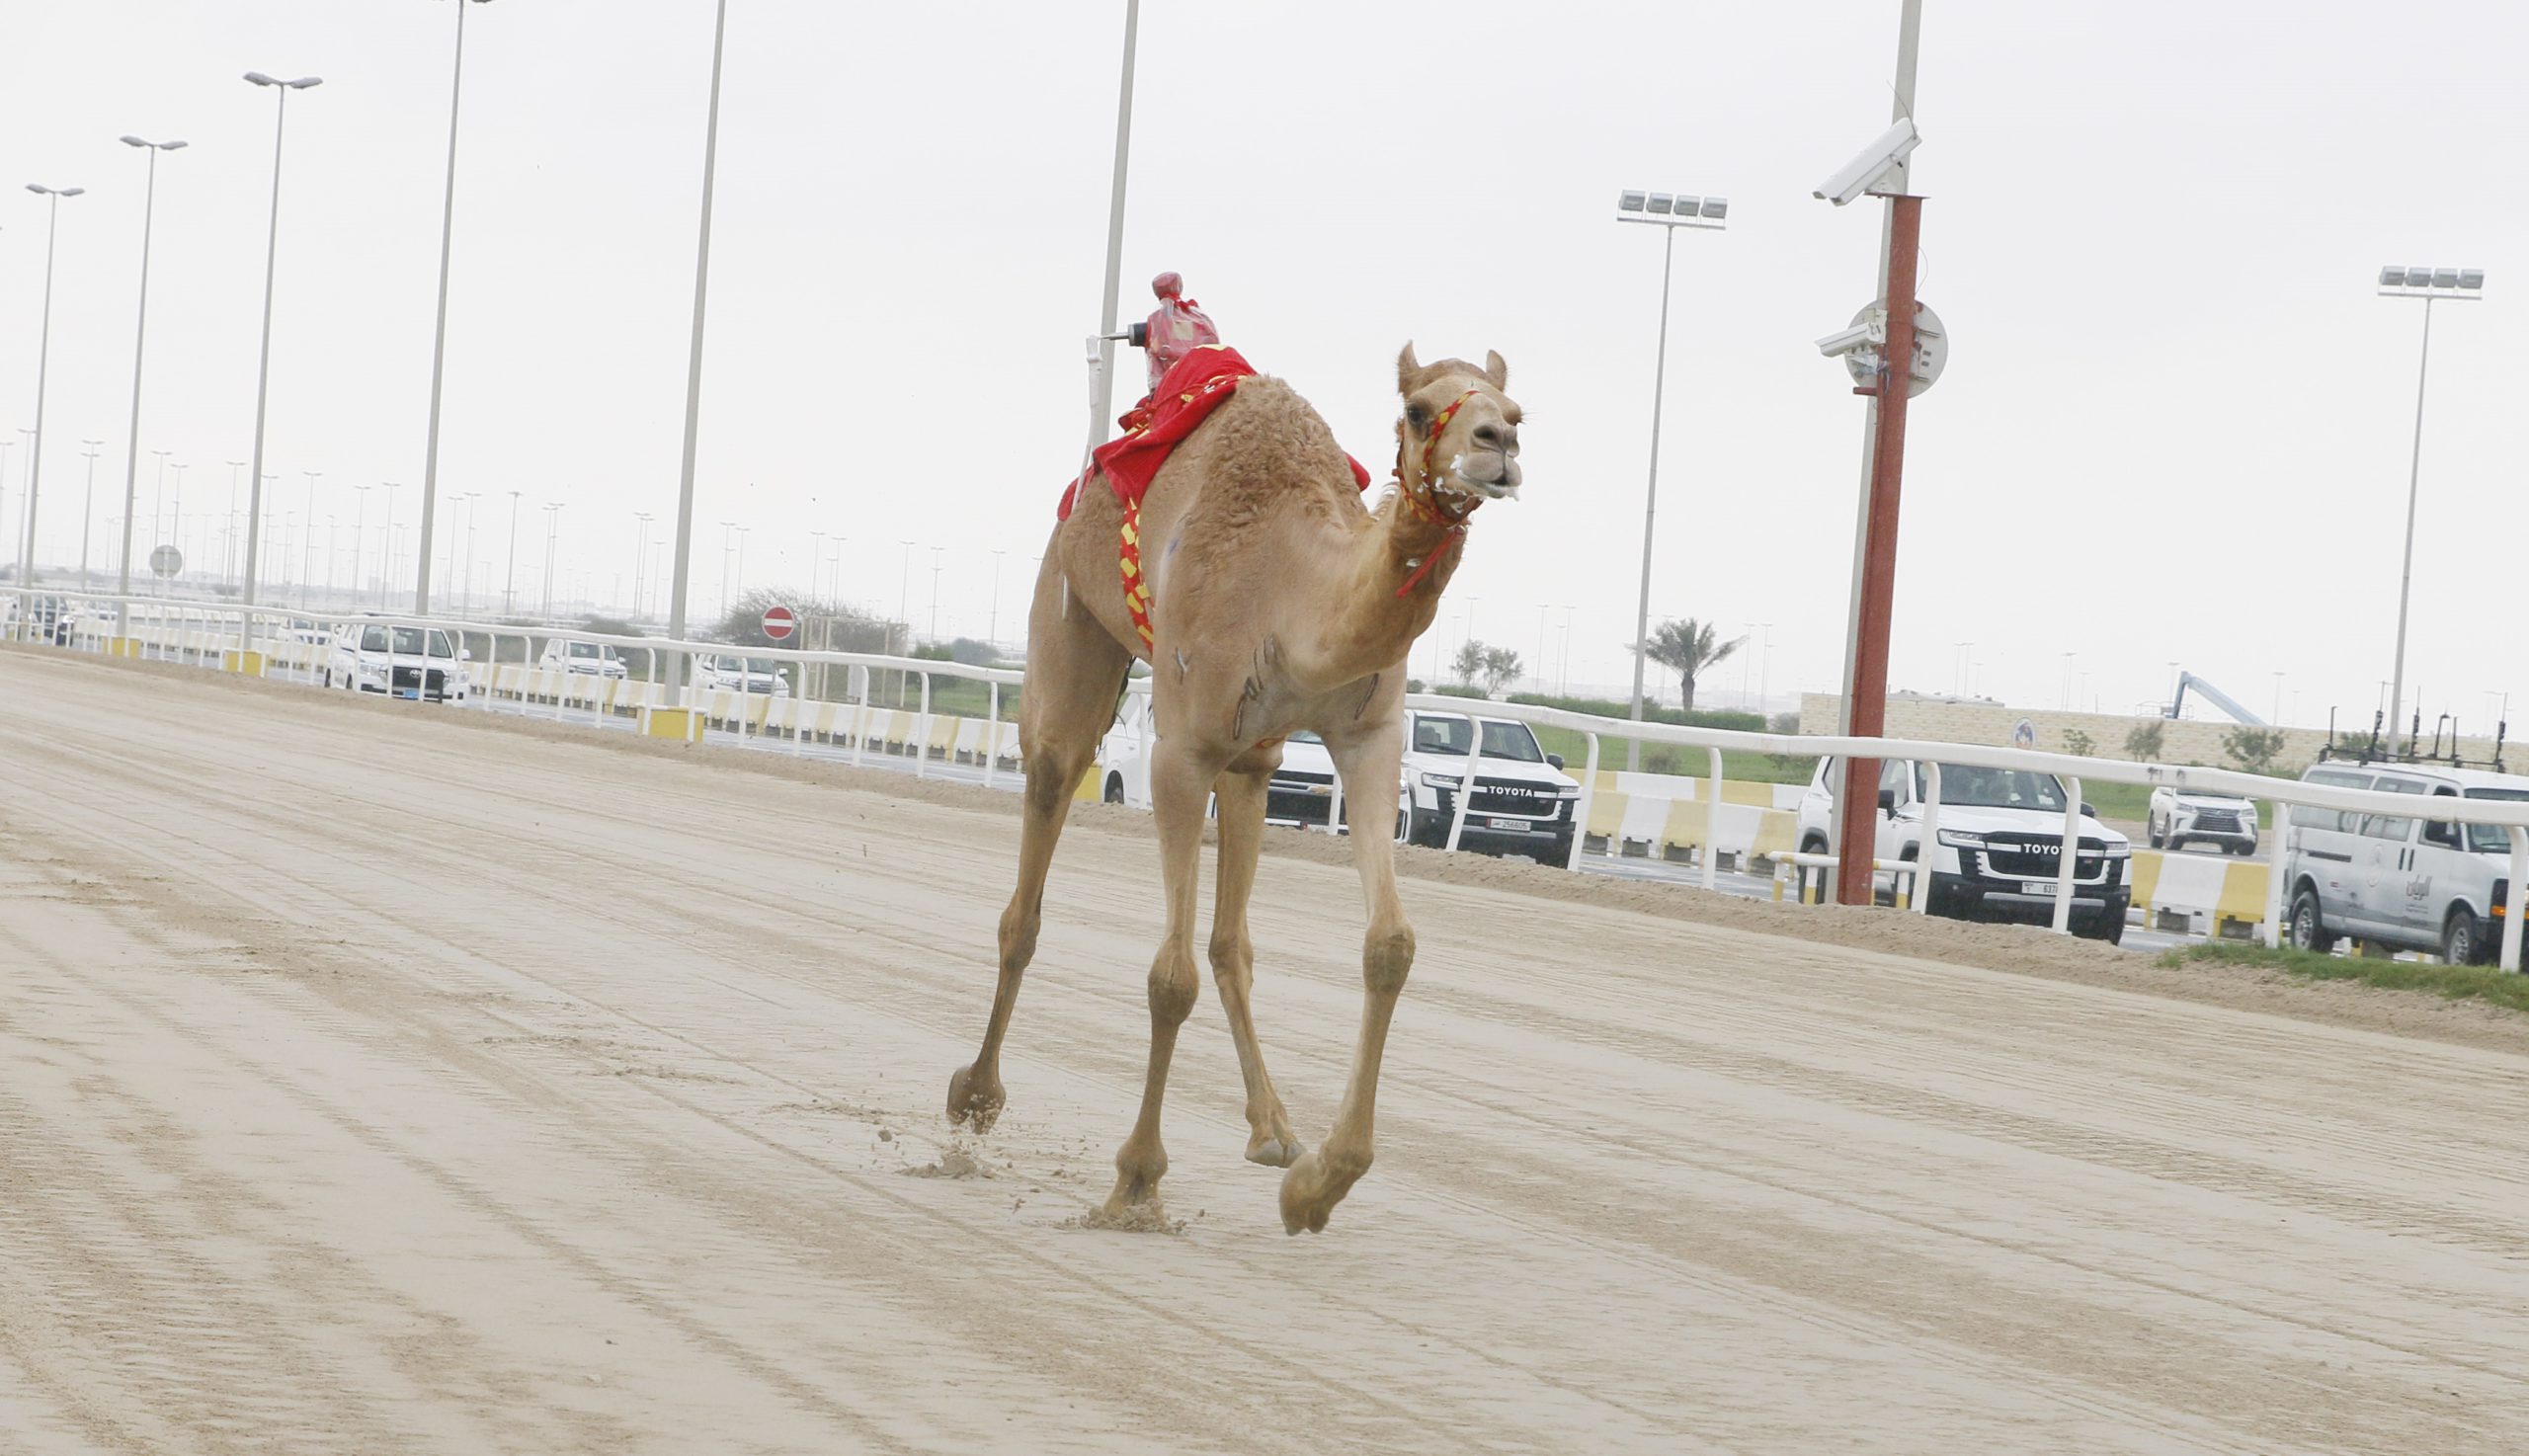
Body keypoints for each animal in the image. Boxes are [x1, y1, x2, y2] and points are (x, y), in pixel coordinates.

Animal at [950, 341, 1517, 1228]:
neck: (1292, 587)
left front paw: (1322, 1182)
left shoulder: (1367, 736)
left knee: (1230, 942)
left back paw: (1275, 1130)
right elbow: (1167, 979)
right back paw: (974, 1099)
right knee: (1033, 871)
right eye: (1420, 409)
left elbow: (1389, 944)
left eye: (1518, 411)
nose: (1499, 447)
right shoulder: (1179, 753)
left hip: (1253, 764)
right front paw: (1136, 1180)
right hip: (1068, 632)